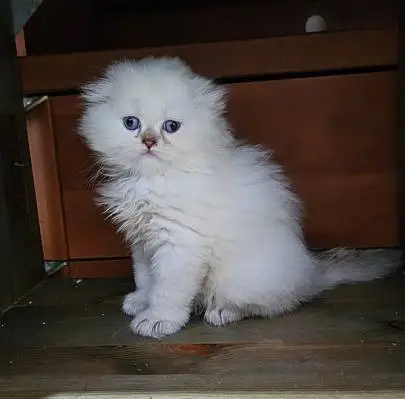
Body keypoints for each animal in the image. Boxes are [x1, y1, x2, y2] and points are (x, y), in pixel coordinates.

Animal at [78, 55, 398, 338]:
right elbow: (146, 278)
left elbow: (168, 289)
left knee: (273, 304)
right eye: (131, 123)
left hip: (240, 276)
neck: (152, 180)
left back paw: (224, 311)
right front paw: (141, 300)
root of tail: (310, 271)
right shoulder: (142, 243)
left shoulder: (180, 244)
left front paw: (159, 320)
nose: (149, 142)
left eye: (171, 126)